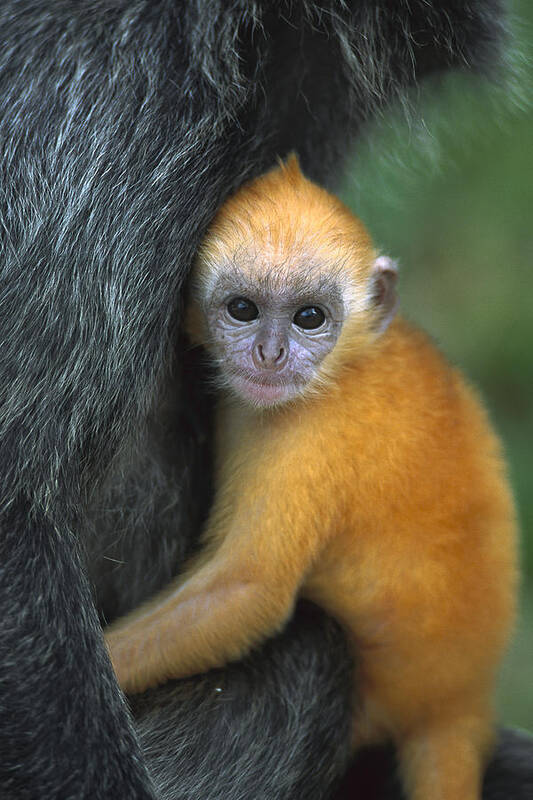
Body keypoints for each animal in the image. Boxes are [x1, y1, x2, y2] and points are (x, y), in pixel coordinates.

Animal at [107, 156, 516, 800]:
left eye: (309, 318)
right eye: (243, 309)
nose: (271, 354)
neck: (347, 366)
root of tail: (454, 704)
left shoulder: (309, 438)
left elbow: (247, 590)